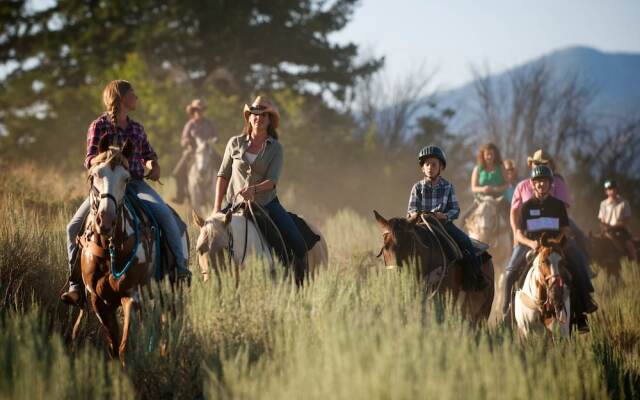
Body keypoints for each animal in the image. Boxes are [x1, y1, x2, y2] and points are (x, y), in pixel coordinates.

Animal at [75, 137, 185, 362]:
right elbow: (113, 346)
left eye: (126, 179)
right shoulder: (98, 301)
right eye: (95, 174)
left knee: (169, 326)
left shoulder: (132, 297)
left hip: (172, 294)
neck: (109, 250)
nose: (105, 221)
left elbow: (124, 347)